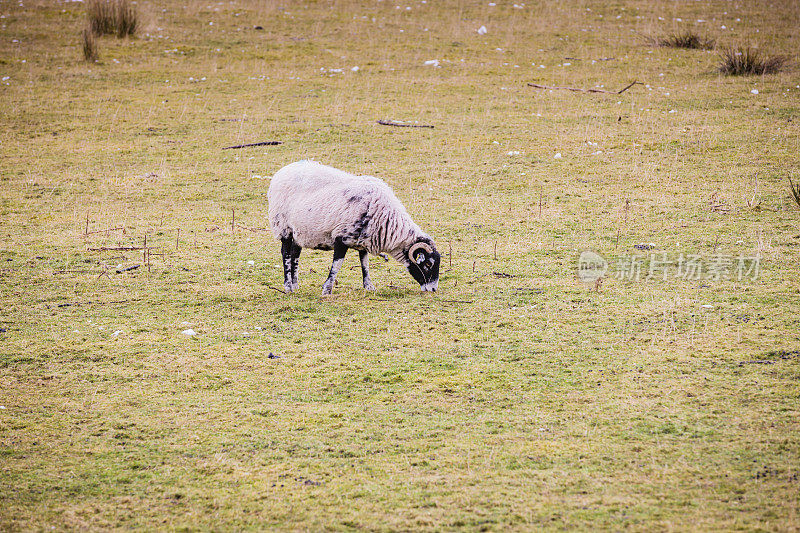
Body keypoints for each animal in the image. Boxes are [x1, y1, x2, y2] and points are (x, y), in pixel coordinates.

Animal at [270, 162, 444, 296]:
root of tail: (282, 171)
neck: (387, 221)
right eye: (428, 265)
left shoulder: (364, 240)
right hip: (283, 226)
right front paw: (327, 289)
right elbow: (337, 265)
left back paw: (295, 284)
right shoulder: (341, 238)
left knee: (295, 254)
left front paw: (369, 286)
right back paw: (288, 287)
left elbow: (365, 263)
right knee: (286, 254)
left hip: (299, 231)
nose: (433, 289)